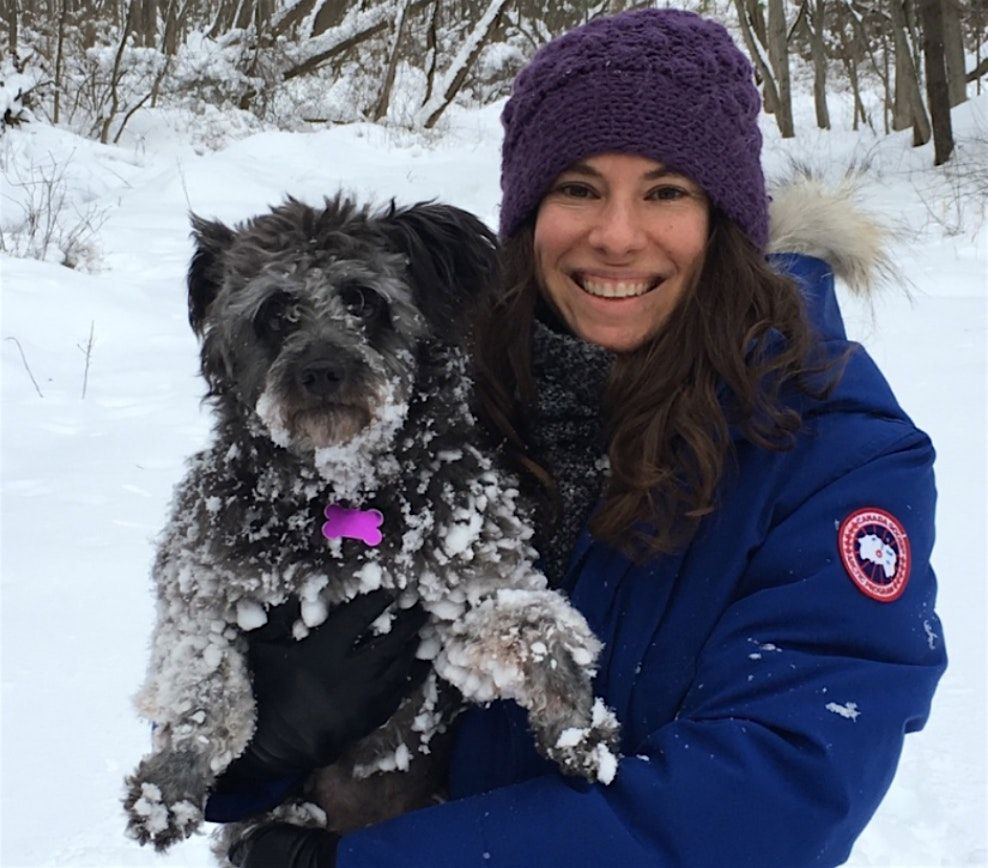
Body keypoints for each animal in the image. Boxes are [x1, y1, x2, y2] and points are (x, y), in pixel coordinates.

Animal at [123, 196, 620, 857]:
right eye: (275, 311)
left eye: (362, 300)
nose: (322, 371)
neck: (343, 490)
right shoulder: (202, 585)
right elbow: (201, 687)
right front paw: (168, 786)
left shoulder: (470, 591)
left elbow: (539, 630)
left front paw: (579, 732)